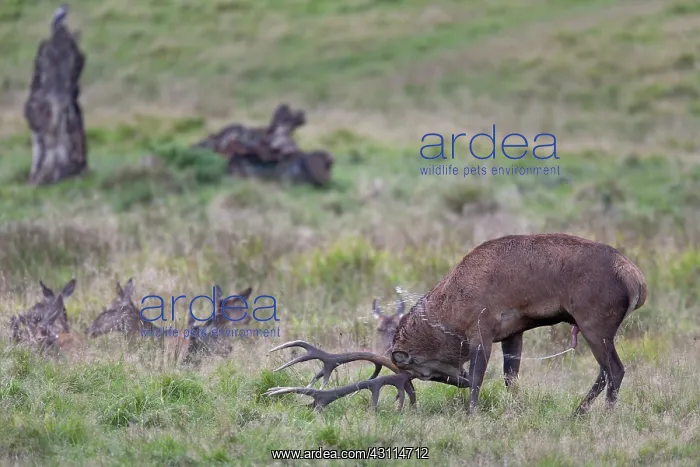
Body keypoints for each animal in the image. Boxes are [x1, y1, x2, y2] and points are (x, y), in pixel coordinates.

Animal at [264, 233, 647, 416]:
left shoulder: (482, 329)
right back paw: (578, 410)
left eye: (426, 373)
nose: (455, 380)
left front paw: (471, 413)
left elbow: (479, 378)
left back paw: (603, 414)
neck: (452, 309)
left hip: (595, 320)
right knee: (604, 370)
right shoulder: (514, 330)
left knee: (615, 369)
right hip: (595, 327)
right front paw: (514, 407)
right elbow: (510, 377)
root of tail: (637, 280)